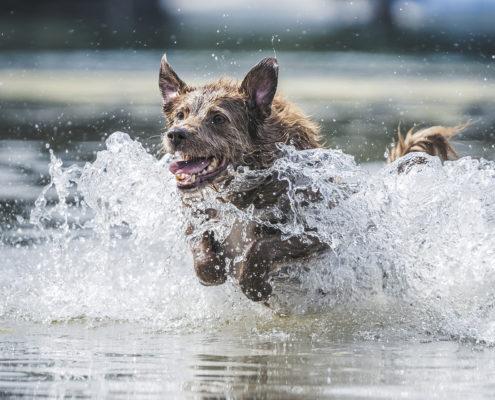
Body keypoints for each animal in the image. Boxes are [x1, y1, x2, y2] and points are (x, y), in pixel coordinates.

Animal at [159, 54, 462, 304]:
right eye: (180, 114)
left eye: (218, 119)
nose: (175, 134)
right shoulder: (198, 215)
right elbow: (201, 250)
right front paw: (214, 269)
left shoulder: (324, 231)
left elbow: (262, 246)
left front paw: (255, 286)